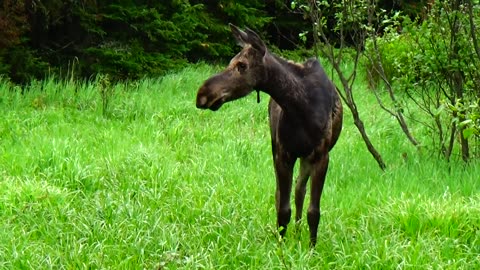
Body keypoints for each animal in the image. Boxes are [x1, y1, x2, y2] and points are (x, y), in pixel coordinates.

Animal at [197, 23, 344, 247]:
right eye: (231, 62)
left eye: (242, 65)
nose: (203, 94)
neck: (301, 108)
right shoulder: (283, 154)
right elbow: (283, 209)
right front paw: (280, 246)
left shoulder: (321, 155)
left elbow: (314, 212)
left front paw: (311, 247)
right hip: (278, 148)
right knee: (283, 193)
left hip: (305, 157)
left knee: (299, 189)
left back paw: (299, 232)